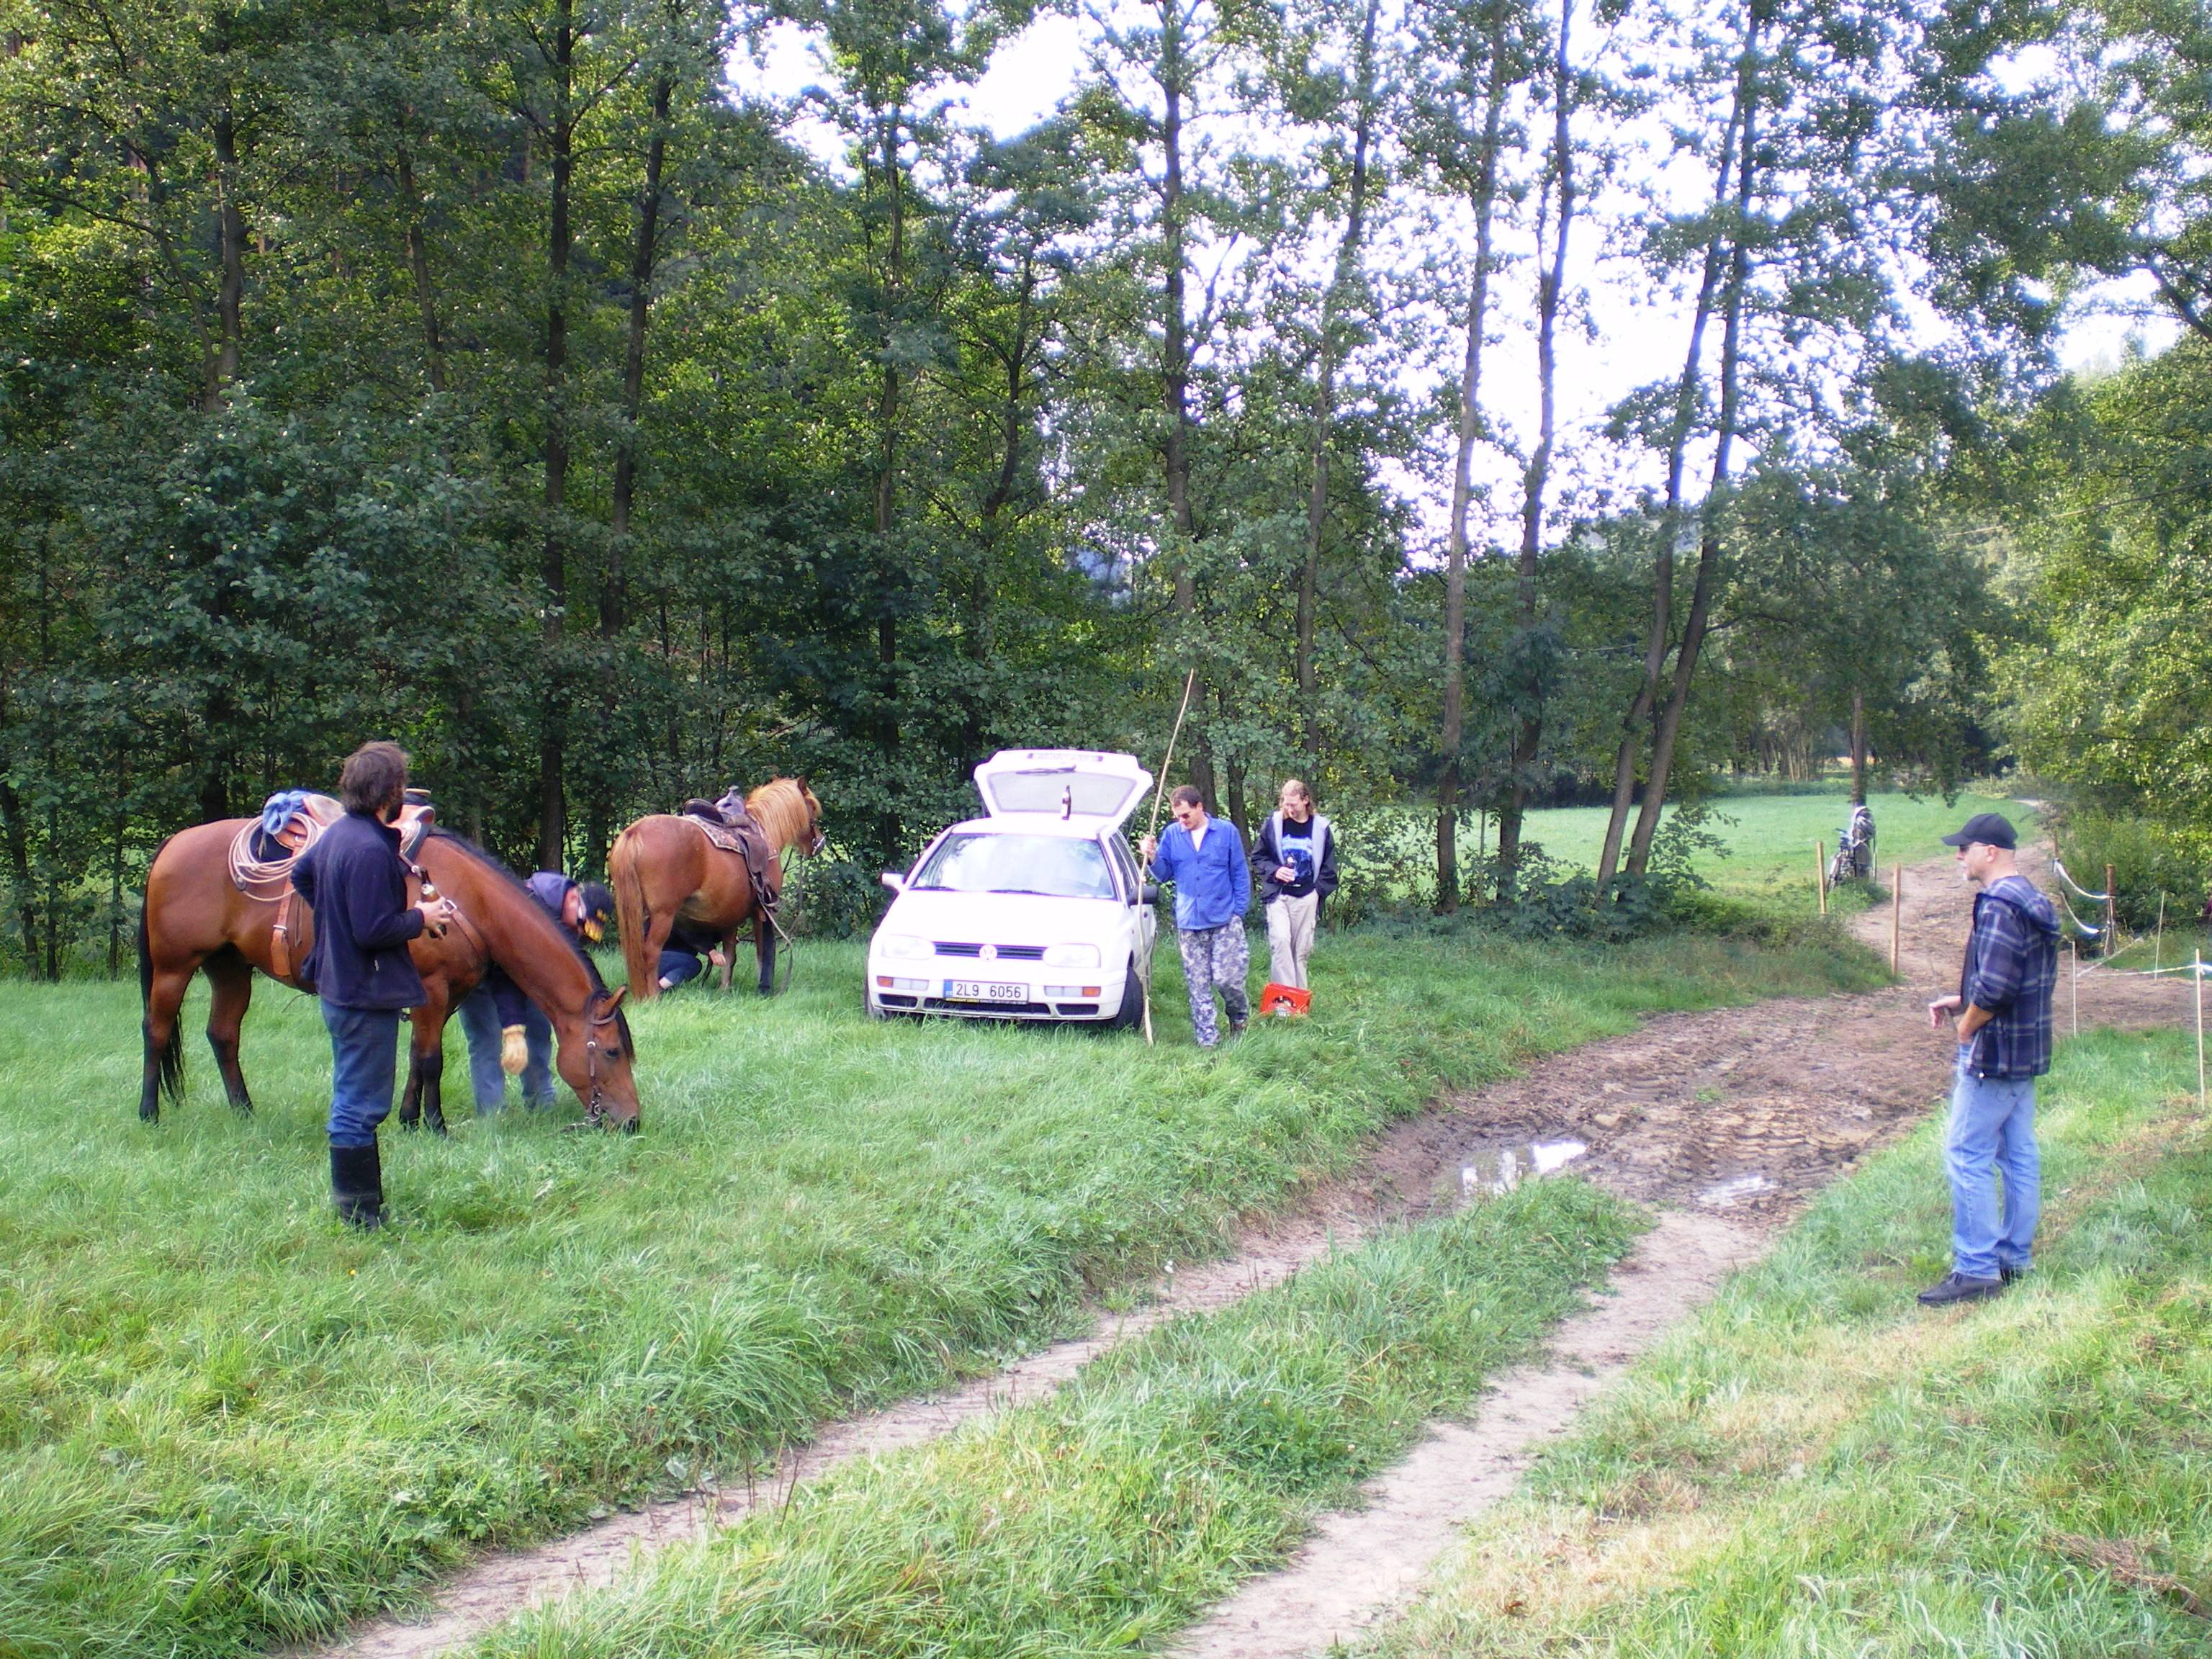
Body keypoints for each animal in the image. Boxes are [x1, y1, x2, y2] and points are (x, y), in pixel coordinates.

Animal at [135, 827, 641, 1141]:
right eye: (612, 1052)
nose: (632, 1123)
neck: (467, 901)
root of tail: (173, 844)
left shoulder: (444, 997)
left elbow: (419, 1059)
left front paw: (411, 1120)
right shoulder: (432, 991)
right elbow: (432, 1061)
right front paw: (435, 1125)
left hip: (230, 968)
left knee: (223, 1035)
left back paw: (244, 1111)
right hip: (174, 967)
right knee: (156, 1032)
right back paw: (149, 1114)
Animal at [610, 778, 827, 999]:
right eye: (812, 807)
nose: (819, 843)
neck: (765, 830)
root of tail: (634, 833)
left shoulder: (729, 916)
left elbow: (730, 953)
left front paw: (725, 988)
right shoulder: (762, 910)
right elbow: (763, 950)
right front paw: (763, 987)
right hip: (664, 914)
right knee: (651, 951)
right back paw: (653, 996)